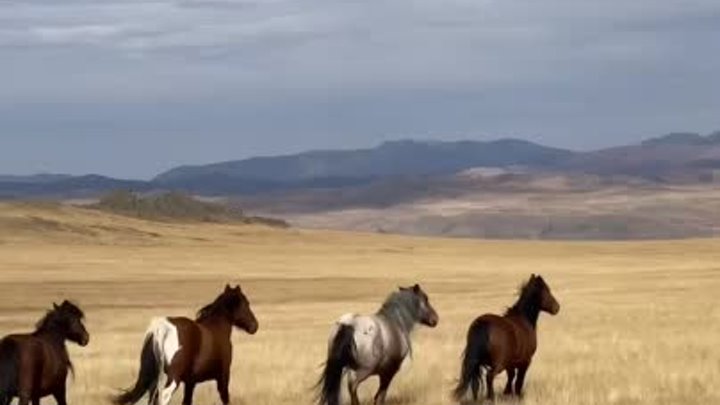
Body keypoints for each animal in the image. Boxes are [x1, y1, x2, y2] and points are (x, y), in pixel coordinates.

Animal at [112, 282, 258, 405]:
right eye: (245, 304)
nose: (254, 326)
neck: (217, 329)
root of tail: (162, 328)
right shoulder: (223, 377)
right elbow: (225, 399)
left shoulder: (190, 382)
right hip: (172, 379)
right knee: (162, 397)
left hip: (153, 378)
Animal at [452, 274, 560, 402]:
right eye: (547, 291)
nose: (557, 307)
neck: (523, 319)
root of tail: (482, 324)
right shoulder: (525, 361)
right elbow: (519, 381)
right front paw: (517, 396)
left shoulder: (510, 363)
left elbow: (511, 376)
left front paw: (507, 393)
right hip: (498, 365)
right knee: (489, 376)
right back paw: (491, 398)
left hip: (476, 363)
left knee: (475, 382)